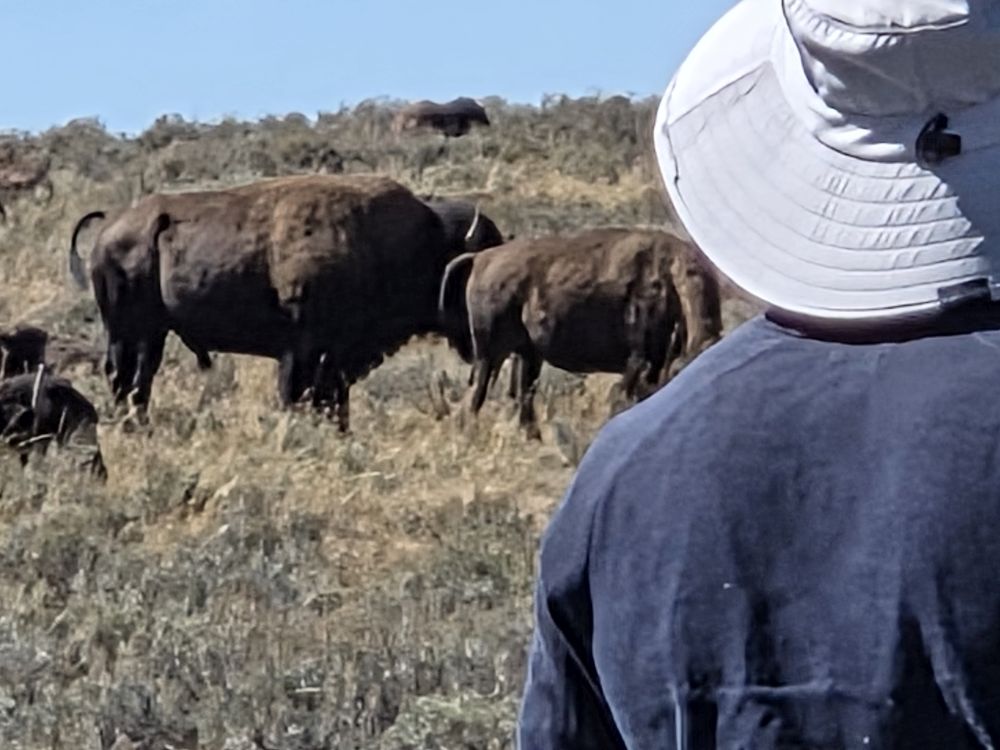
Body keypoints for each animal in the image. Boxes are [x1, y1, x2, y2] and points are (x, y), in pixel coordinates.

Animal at [69, 175, 503, 431]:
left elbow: (333, 402)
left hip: (152, 334)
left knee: (138, 381)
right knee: (125, 378)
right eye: (470, 263)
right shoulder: (303, 351)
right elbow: (298, 395)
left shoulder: (337, 359)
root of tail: (110, 228)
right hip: (129, 332)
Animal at [439, 228, 721, 438]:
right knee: (478, 393)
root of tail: (480, 258)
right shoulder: (642, 361)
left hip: (527, 354)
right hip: (490, 354)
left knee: (522, 395)